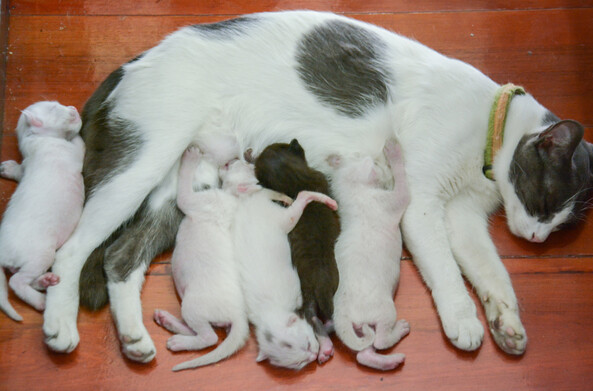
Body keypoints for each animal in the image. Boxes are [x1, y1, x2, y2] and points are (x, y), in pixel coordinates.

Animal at [0, 101, 84, 322]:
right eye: (55, 108)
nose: (72, 107)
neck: (35, 139)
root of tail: (1, 251)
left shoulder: (26, 163)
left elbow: (20, 170)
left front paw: (8, 168)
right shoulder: (70, 151)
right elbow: (80, 143)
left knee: (26, 278)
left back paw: (46, 281)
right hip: (40, 254)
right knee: (16, 282)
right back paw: (40, 301)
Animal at [253, 139, 340, 364]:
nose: (294, 140)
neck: (294, 181)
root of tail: (319, 283)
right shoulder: (319, 176)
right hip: (320, 288)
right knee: (315, 317)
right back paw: (326, 345)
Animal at [330, 139, 410, 372]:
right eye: (375, 162)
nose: (380, 163)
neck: (353, 194)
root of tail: (342, 317)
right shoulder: (389, 201)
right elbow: (402, 186)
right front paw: (393, 151)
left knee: (364, 354)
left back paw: (390, 361)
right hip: (385, 310)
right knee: (380, 340)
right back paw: (399, 331)